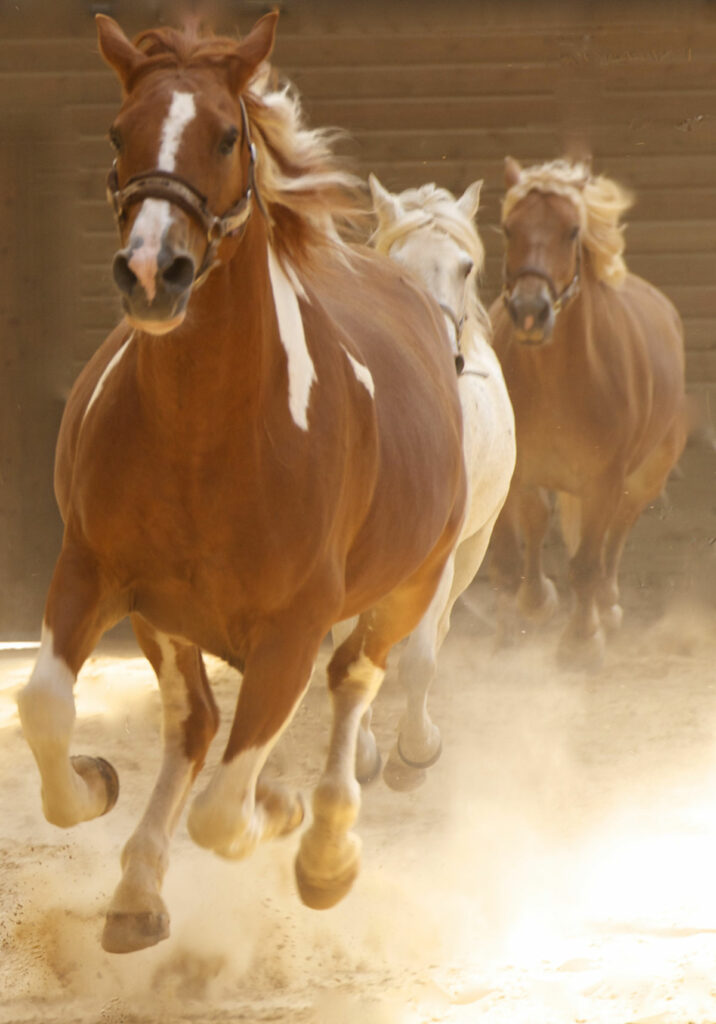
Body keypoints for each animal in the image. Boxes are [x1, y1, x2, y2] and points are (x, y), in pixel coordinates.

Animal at [16, 9, 467, 950]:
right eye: (118, 132)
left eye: (227, 134)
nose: (152, 272)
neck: (207, 439)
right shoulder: (93, 574)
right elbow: (45, 708)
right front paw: (96, 782)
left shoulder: (292, 630)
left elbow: (225, 811)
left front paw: (285, 812)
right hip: (165, 619)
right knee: (194, 723)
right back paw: (137, 891)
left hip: (409, 585)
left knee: (354, 684)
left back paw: (324, 849)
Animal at [360, 176, 518, 786]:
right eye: (393, 267)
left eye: (466, 267)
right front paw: (361, 756)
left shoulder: (441, 557)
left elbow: (420, 659)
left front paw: (413, 753)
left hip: (472, 551)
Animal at [489, 155, 684, 667]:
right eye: (508, 228)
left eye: (572, 231)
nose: (530, 311)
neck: (556, 378)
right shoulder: (517, 473)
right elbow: (512, 554)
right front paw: (526, 613)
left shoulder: (604, 481)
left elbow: (586, 565)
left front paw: (580, 642)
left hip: (644, 476)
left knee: (616, 535)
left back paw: (607, 609)